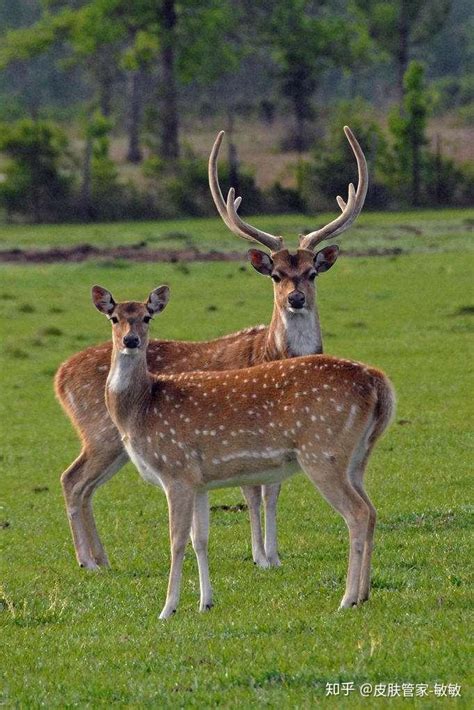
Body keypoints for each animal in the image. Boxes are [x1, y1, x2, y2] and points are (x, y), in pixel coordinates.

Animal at [54, 126, 366, 572]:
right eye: (275, 274)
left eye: (311, 272)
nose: (296, 298)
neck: (270, 353)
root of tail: (60, 376)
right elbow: (254, 491)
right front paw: (261, 556)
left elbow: (273, 488)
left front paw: (274, 555)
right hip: (99, 432)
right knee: (72, 479)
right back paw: (88, 561)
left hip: (114, 444)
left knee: (84, 484)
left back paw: (101, 559)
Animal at [90, 286, 394, 620]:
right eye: (114, 318)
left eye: (147, 316)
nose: (130, 341)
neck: (141, 409)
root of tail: (379, 382)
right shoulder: (198, 482)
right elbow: (200, 540)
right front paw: (205, 603)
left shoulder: (176, 470)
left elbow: (176, 541)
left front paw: (168, 608)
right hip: (356, 457)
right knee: (372, 511)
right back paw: (364, 594)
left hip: (322, 452)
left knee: (357, 513)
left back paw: (347, 598)